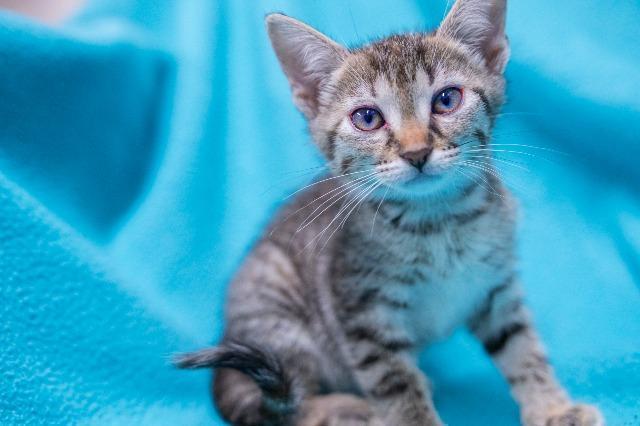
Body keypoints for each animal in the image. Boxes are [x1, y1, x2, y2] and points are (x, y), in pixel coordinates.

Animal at [176, 0, 604, 426]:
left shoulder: (495, 289)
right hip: (280, 318)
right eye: (367, 118)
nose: (416, 152)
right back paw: (349, 409)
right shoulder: (364, 317)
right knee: (291, 406)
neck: (439, 223)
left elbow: (523, 348)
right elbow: (397, 385)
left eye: (447, 100)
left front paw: (554, 407)